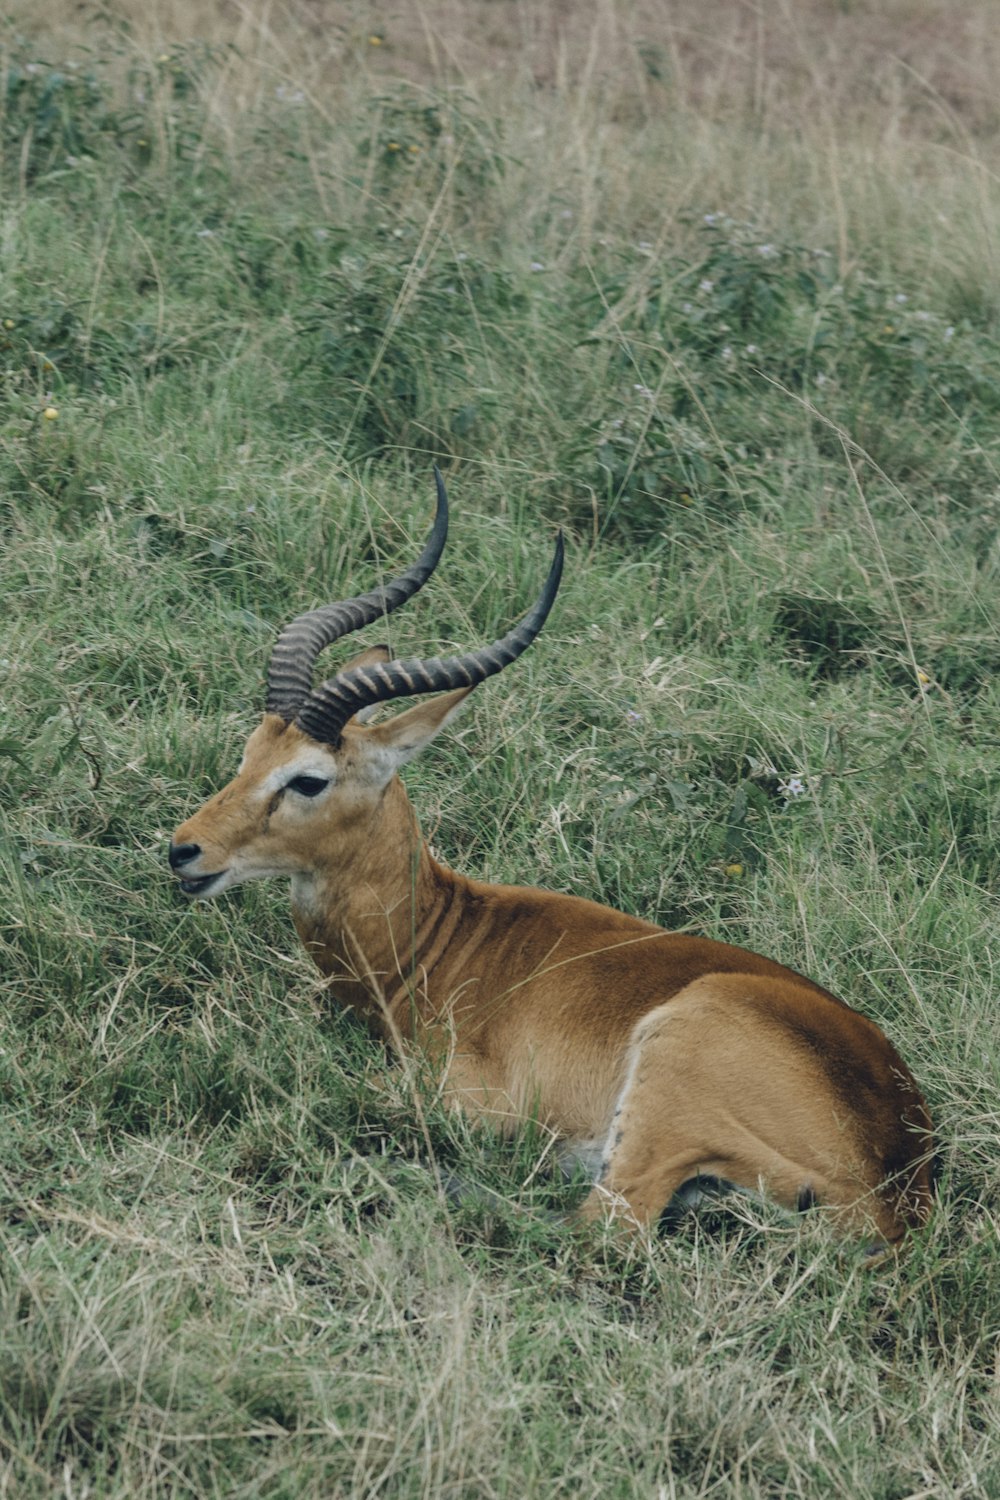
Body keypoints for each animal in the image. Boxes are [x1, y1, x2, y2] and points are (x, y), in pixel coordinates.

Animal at [170, 474, 929, 1248]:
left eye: (308, 779)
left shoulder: (468, 1098)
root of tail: (897, 1186)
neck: (432, 945)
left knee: (600, 1226)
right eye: (251, 750)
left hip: (661, 1092)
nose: (184, 850)